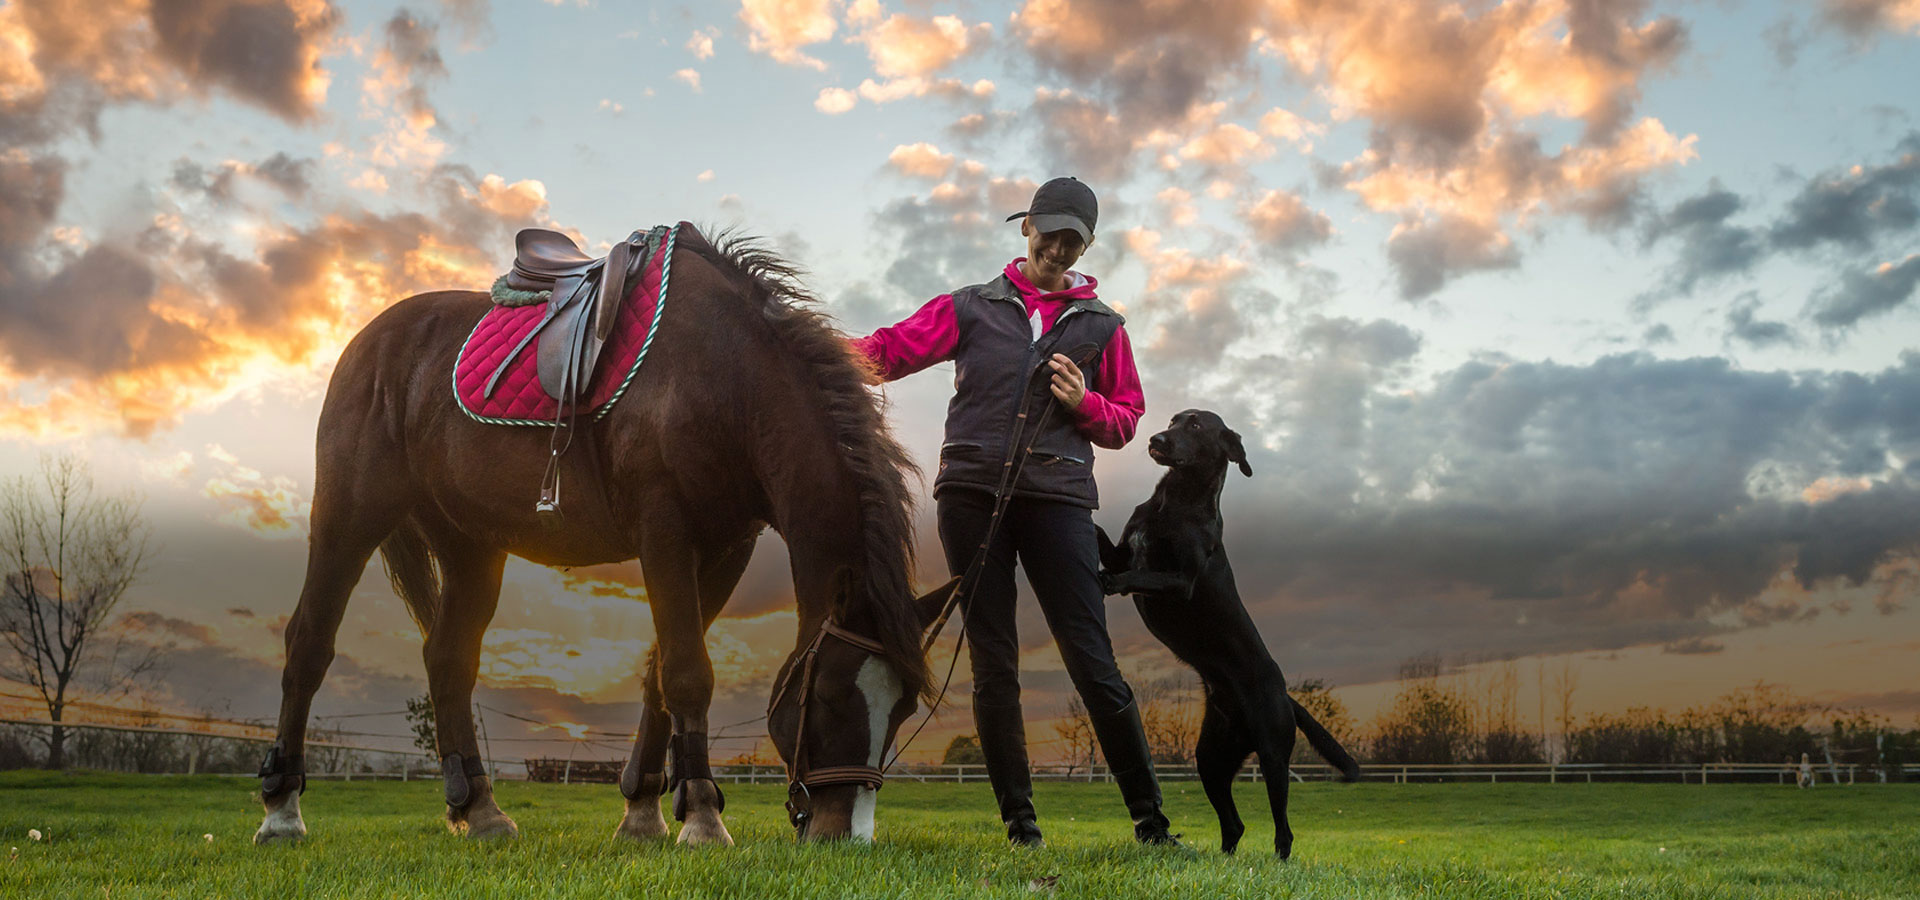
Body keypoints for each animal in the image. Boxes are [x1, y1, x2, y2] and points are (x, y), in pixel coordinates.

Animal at [252, 224, 948, 845]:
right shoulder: (664, 530)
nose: (846, 834)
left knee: (448, 660)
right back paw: (282, 813)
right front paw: (701, 817)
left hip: (470, 546)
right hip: (348, 517)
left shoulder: (726, 548)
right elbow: (687, 672)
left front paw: (644, 813)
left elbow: (659, 673)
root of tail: (370, 341)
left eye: (904, 708)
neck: (726, 372)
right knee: (309, 644)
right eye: (828, 696)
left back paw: (481, 810)